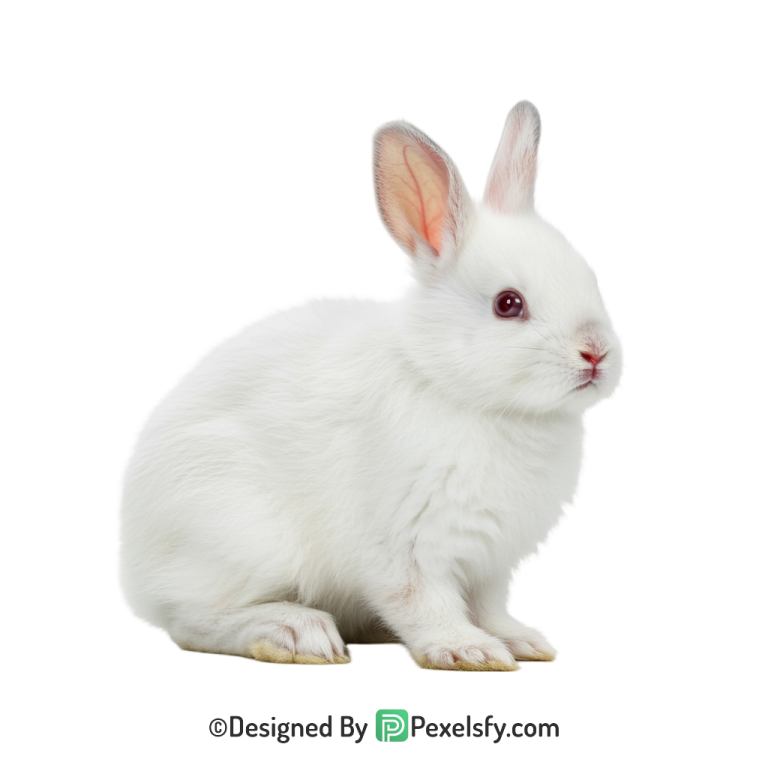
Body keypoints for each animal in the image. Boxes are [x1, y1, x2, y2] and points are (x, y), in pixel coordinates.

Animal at [115, 98, 626, 671]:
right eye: (508, 304)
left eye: (588, 276)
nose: (596, 353)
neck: (473, 399)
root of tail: (133, 567)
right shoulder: (409, 549)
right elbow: (425, 603)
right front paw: (466, 650)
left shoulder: (494, 567)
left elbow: (492, 609)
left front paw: (523, 642)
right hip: (240, 539)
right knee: (194, 620)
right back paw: (297, 634)